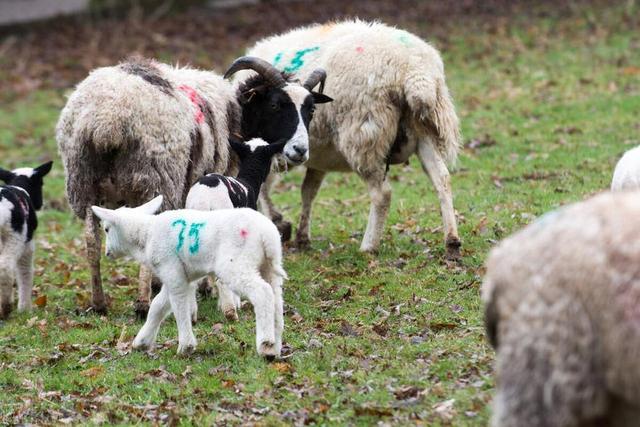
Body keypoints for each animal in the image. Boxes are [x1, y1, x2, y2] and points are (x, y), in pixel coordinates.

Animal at [0, 162, 52, 320]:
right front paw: (25, 309)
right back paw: (5, 307)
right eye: (41, 183)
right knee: (5, 268)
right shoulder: (27, 245)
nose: (41, 204)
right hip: (14, 237)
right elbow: (25, 273)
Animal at [56, 56, 330, 318]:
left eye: (311, 109)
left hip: (84, 184)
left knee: (91, 241)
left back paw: (98, 303)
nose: (300, 150)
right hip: (154, 178)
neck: (239, 115)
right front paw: (205, 287)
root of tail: (107, 120)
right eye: (275, 105)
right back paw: (142, 304)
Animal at [90, 196, 288, 358]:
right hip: (269, 266)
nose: (107, 253)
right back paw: (272, 349)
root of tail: (266, 235)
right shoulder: (176, 274)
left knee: (262, 292)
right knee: (276, 298)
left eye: (106, 229)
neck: (146, 234)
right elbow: (158, 306)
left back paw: (265, 340)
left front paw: (186, 346)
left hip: (236, 263)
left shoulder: (172, 271)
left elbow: (179, 307)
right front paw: (142, 342)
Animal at [238, 20, 462, 260]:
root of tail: (413, 70)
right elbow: (308, 191)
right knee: (442, 179)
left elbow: (263, 186)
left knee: (382, 194)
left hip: (364, 135)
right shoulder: (317, 160)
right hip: (425, 130)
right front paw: (301, 236)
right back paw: (452, 242)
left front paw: (280, 224)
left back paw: (368, 246)